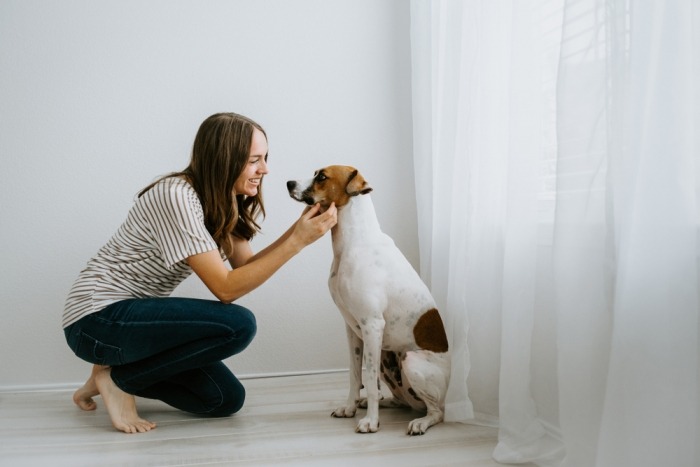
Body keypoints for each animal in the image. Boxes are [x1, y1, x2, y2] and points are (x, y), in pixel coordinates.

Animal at [288, 166, 452, 436]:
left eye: (321, 176)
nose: (289, 183)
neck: (353, 243)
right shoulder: (353, 328)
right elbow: (356, 375)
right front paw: (350, 407)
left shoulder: (372, 325)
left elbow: (368, 379)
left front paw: (371, 422)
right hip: (387, 358)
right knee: (401, 400)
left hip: (410, 359)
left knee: (437, 412)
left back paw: (420, 422)